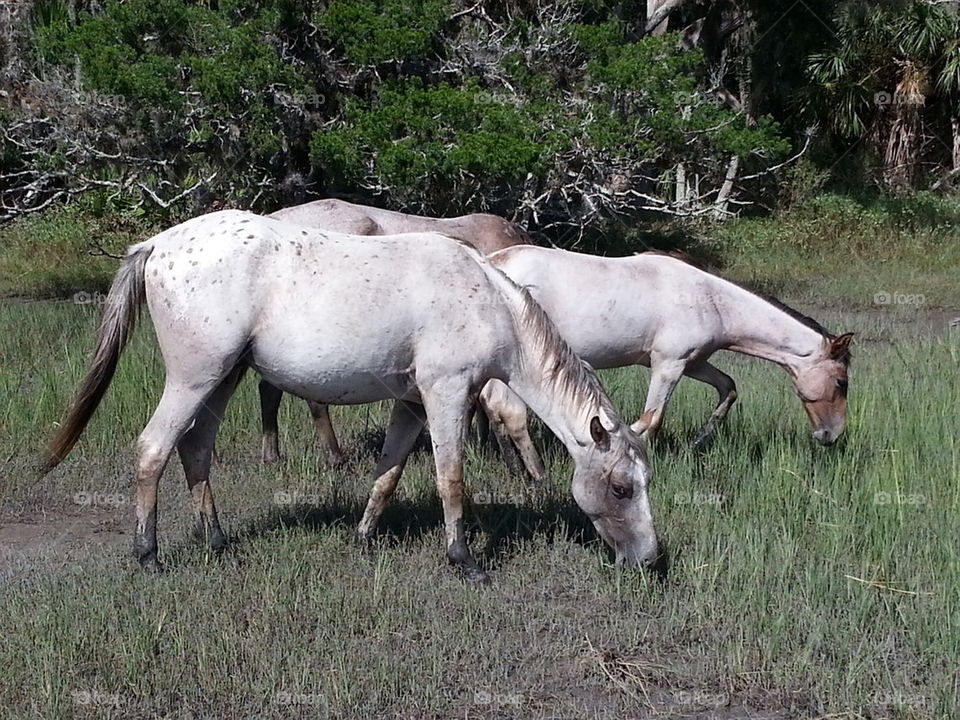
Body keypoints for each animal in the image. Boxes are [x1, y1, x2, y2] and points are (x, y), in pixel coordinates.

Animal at [477, 247, 852, 476]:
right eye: (842, 381)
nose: (831, 436)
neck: (710, 299)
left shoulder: (694, 363)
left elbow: (728, 389)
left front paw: (698, 442)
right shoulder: (668, 366)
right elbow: (651, 419)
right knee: (506, 409)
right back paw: (535, 473)